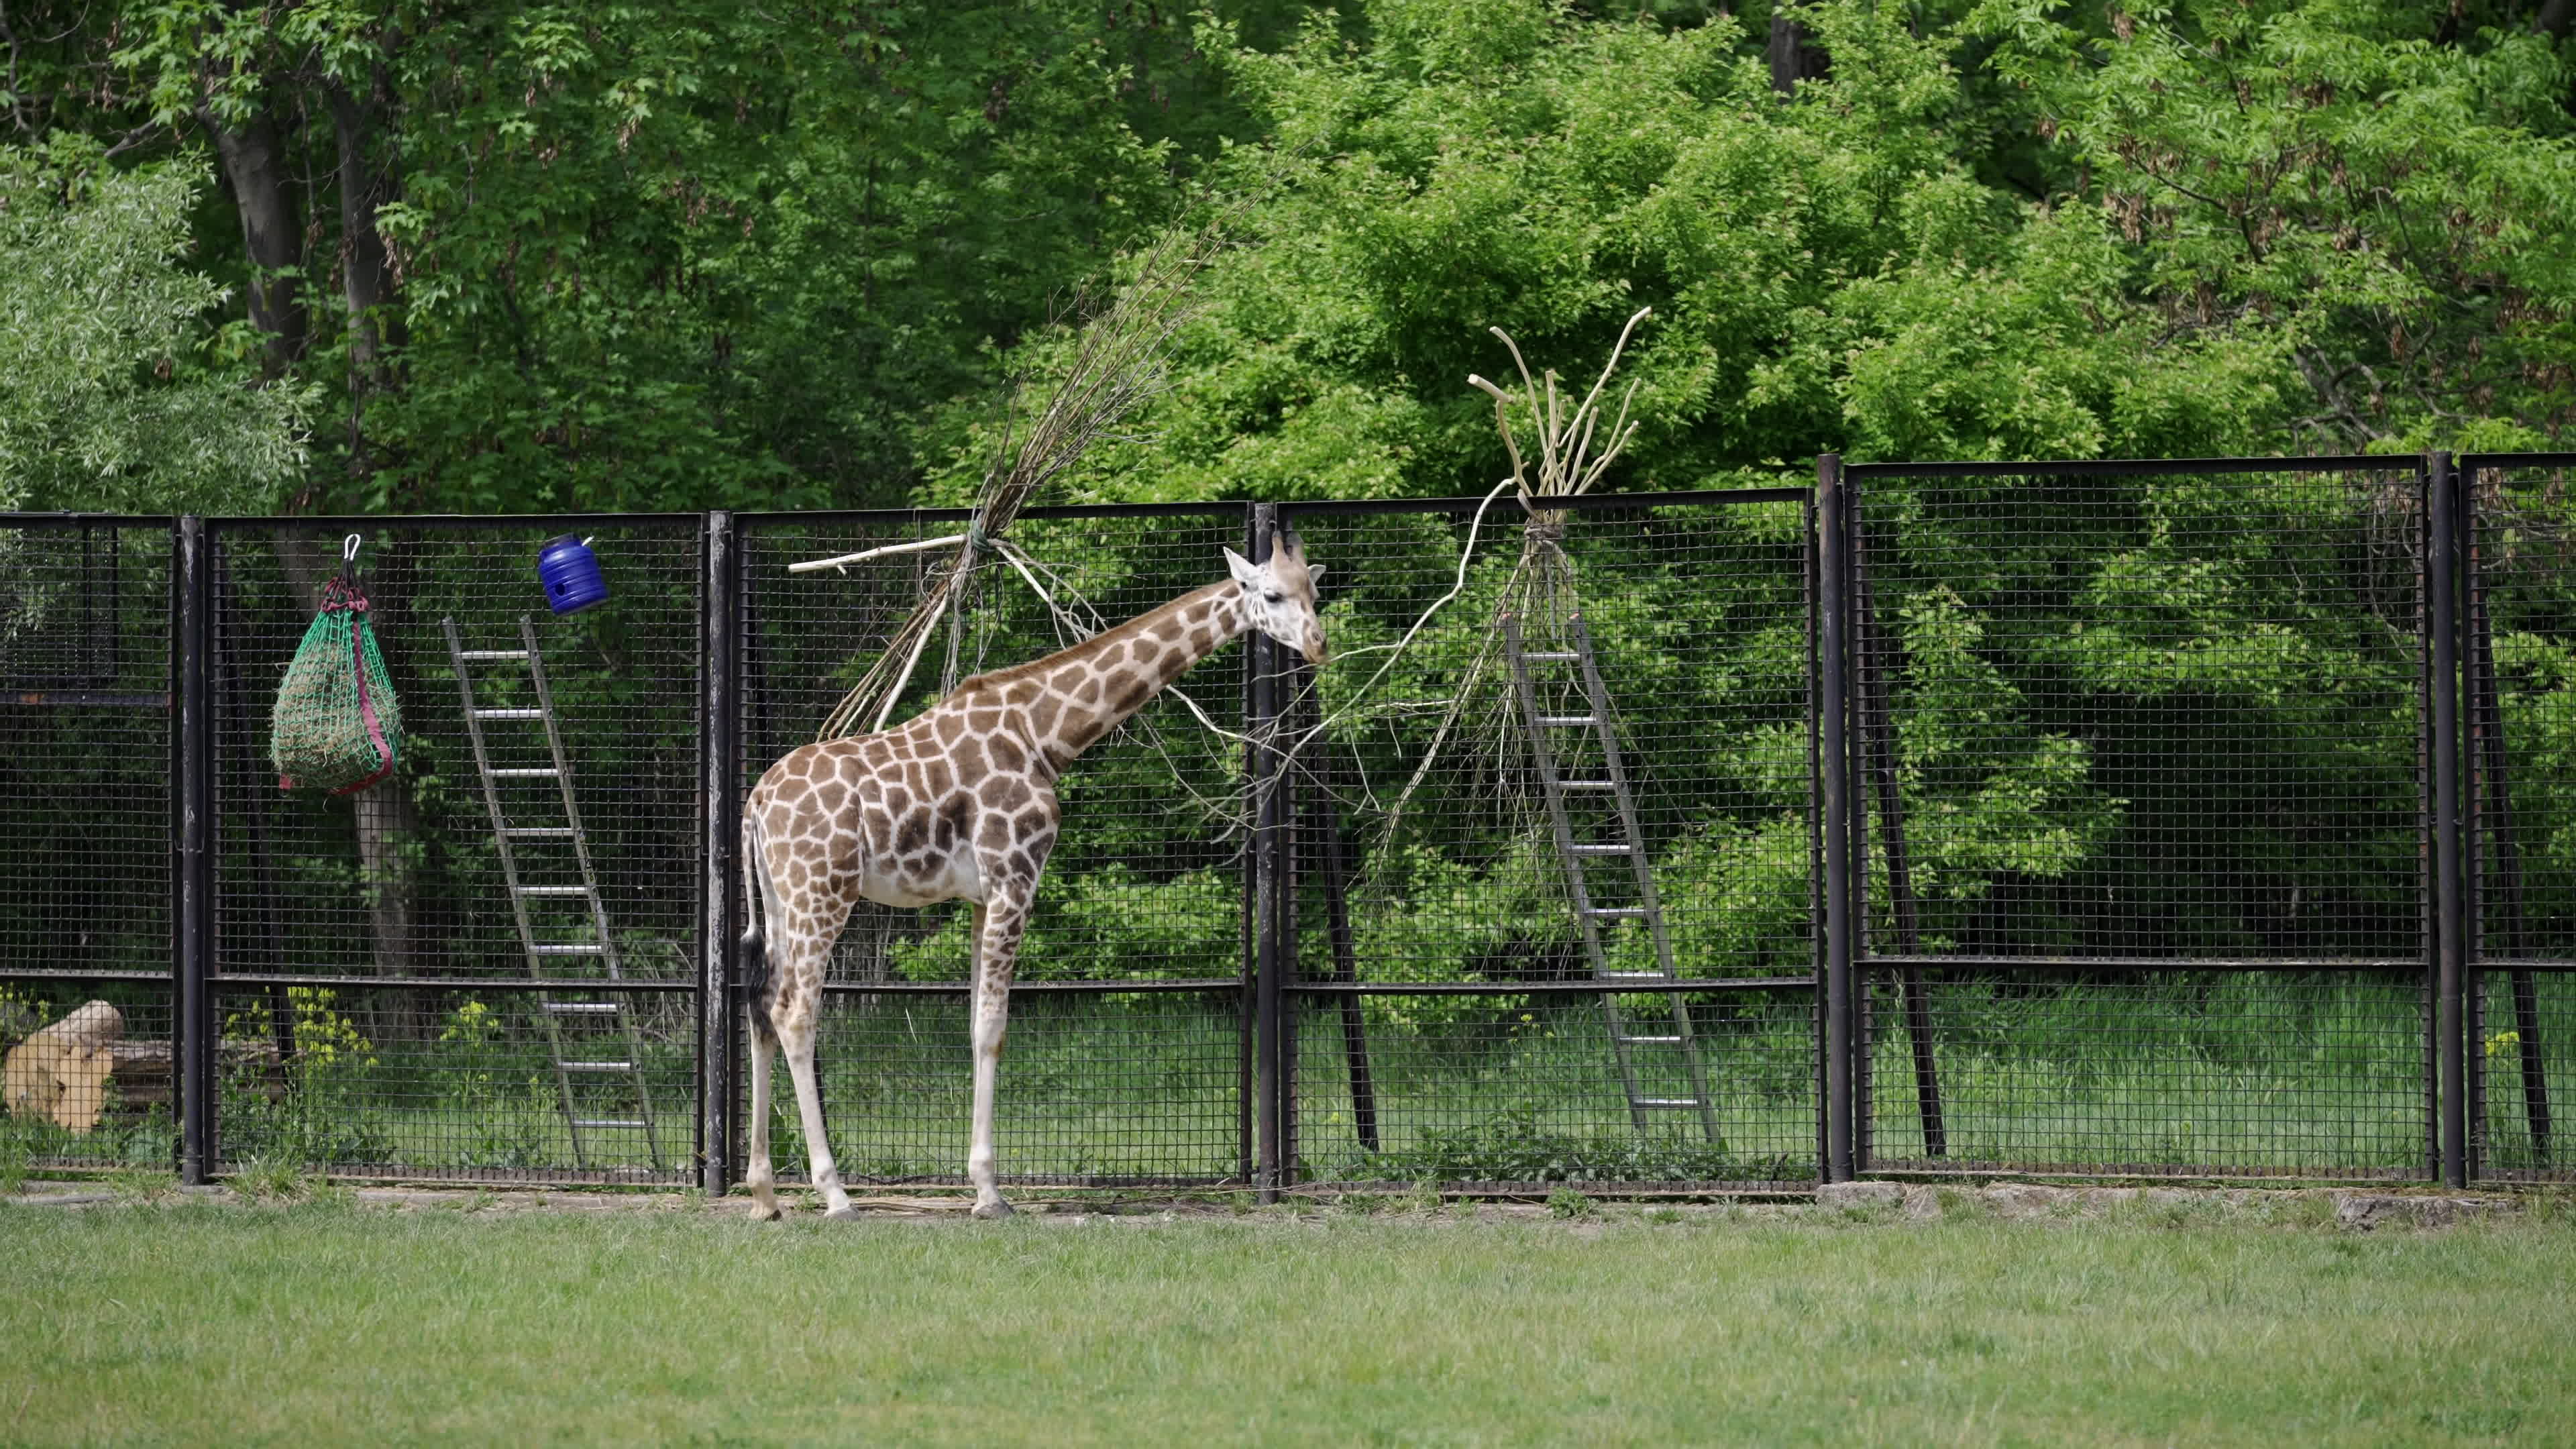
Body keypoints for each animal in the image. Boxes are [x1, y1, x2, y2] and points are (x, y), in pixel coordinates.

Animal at [739, 528, 1328, 1219]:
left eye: (1314, 593)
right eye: (1272, 594)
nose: (1319, 644)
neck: (1047, 734)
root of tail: (755, 804)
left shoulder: (977, 896)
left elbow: (976, 1024)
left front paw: (981, 1184)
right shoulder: (1015, 876)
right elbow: (993, 1028)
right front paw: (990, 1192)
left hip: (781, 900)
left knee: (759, 1007)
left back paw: (764, 1193)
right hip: (822, 892)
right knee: (796, 1012)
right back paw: (834, 1194)